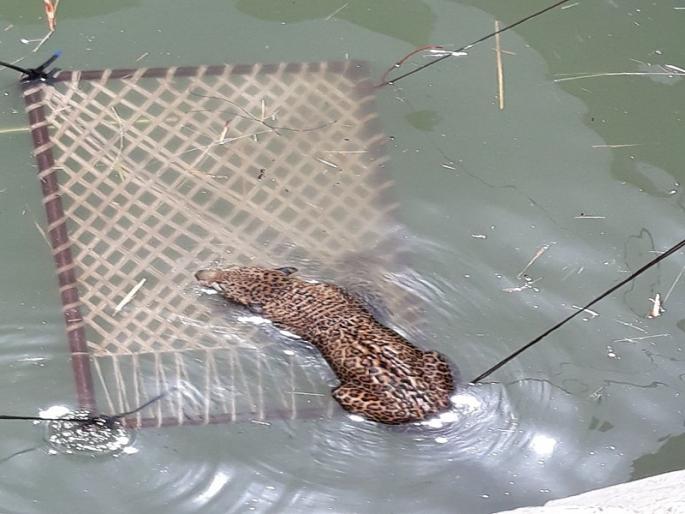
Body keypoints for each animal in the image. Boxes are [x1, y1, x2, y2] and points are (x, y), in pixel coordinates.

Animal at [195, 266, 455, 424]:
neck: (285, 291)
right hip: (434, 356)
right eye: (231, 267)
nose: (199, 273)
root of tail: (429, 405)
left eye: (222, 284)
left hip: (347, 394)